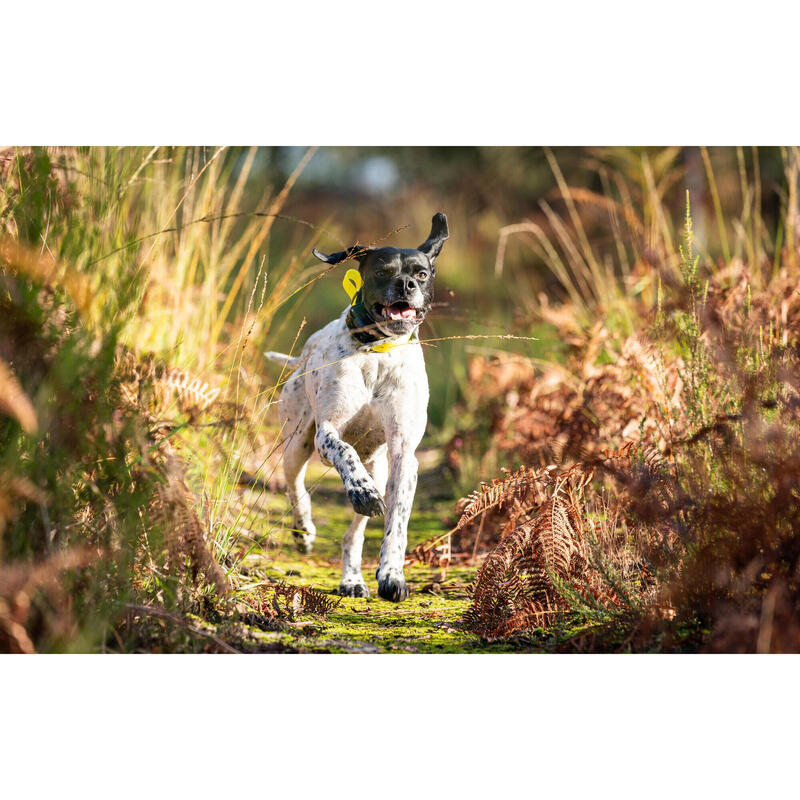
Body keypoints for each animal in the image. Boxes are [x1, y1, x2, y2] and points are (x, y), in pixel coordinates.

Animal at [266, 212, 446, 600]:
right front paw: (360, 490)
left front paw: (392, 574)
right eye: (381, 271)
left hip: (379, 468)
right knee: (295, 486)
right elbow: (344, 451)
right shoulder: (327, 433)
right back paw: (304, 530)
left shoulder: (403, 455)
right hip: (297, 443)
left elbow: (397, 522)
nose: (405, 284)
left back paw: (351, 578)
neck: (378, 352)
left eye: (422, 273)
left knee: (353, 534)